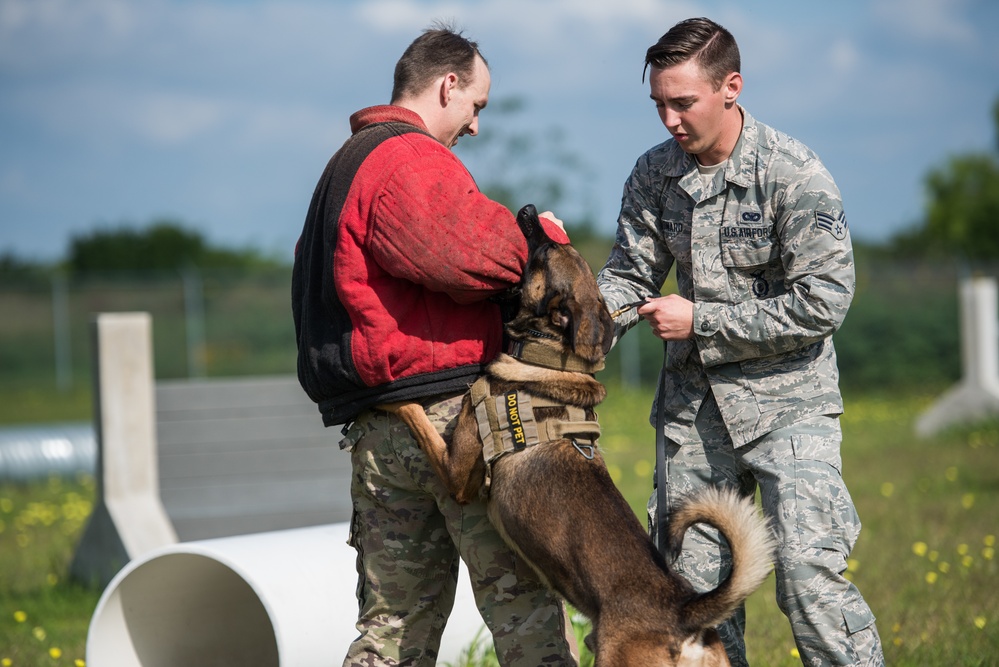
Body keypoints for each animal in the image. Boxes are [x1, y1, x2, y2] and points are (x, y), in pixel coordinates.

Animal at [382, 206, 772, 664]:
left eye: (541, 254)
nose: (531, 210)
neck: (547, 358)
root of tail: (683, 611)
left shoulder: (458, 475)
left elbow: (414, 414)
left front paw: (382, 398)